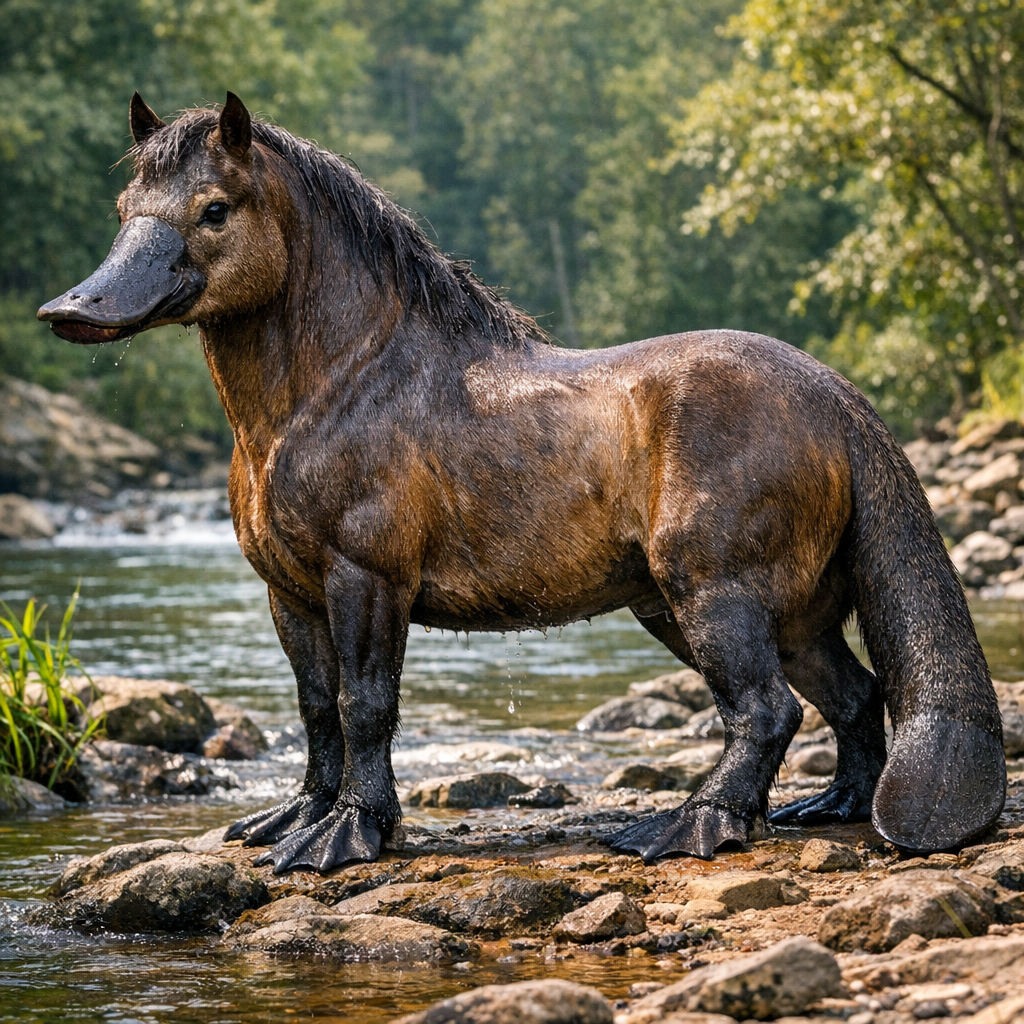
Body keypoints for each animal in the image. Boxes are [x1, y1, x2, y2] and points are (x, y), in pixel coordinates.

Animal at [39, 93, 1005, 875]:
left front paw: (348, 835)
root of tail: (833, 393)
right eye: (126, 208)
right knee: (854, 697)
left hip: (715, 593)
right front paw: (294, 819)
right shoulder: (292, 593)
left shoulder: (367, 579)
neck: (341, 385)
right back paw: (831, 807)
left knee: (765, 711)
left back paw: (687, 827)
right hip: (779, 612)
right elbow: (316, 710)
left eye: (213, 209)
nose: (74, 311)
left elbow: (364, 705)